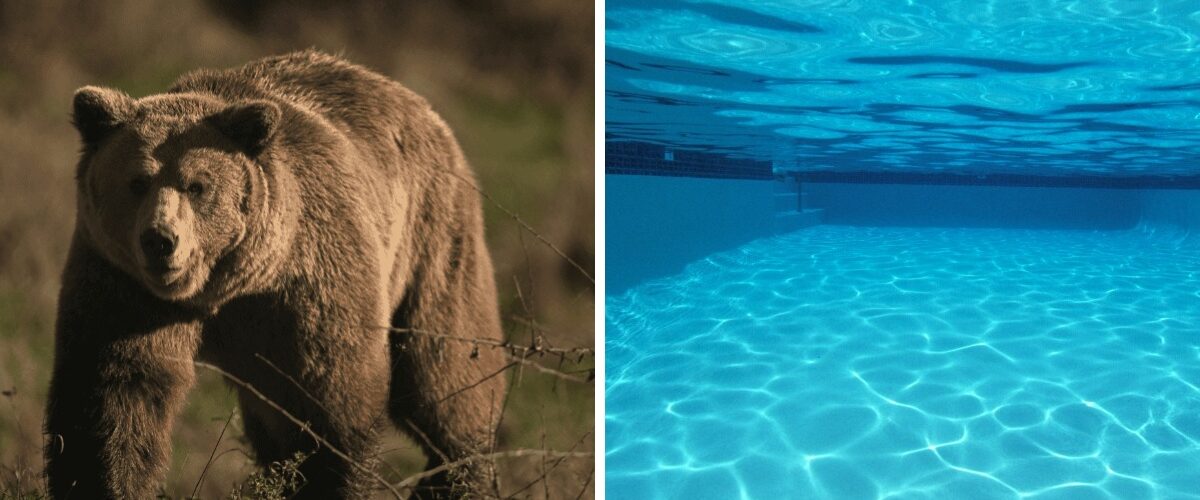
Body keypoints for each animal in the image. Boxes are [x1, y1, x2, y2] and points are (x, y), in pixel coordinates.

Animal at [44, 50, 508, 499]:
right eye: (137, 181)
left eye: (197, 185)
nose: (160, 240)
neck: (227, 287)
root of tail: (418, 104)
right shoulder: (124, 287)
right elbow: (117, 394)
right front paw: (104, 479)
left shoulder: (310, 287)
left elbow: (332, 407)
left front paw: (330, 481)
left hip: (433, 240)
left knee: (446, 373)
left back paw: (460, 474)